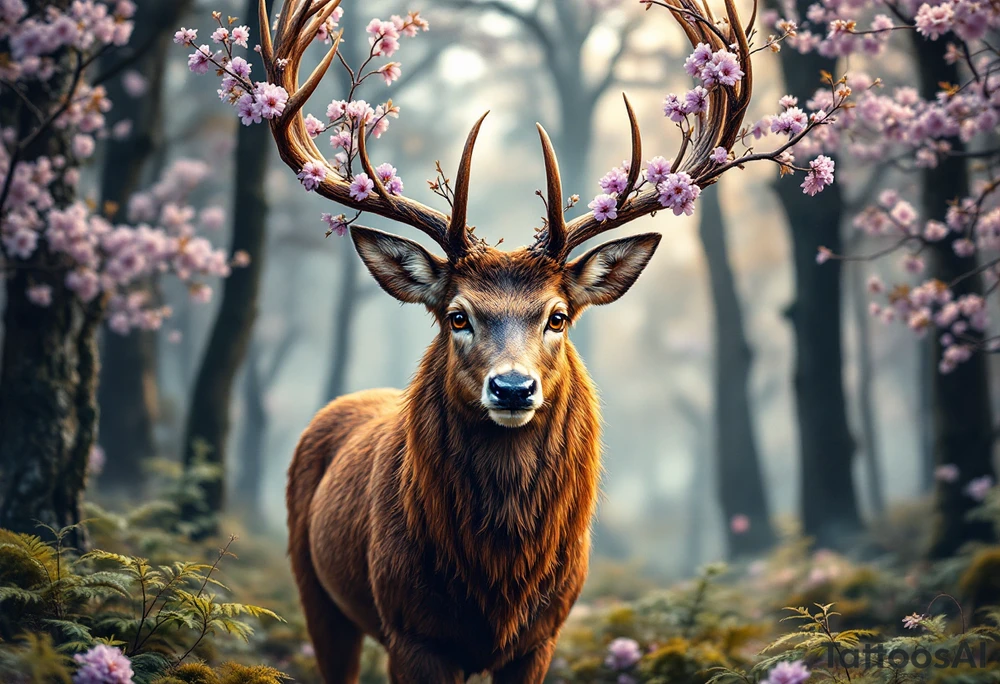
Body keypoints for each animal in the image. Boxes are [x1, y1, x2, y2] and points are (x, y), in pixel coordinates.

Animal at [257, 0, 753, 681]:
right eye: (456, 316)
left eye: (558, 317)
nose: (514, 387)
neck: (497, 580)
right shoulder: (410, 630)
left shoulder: (543, 634)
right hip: (314, 587)